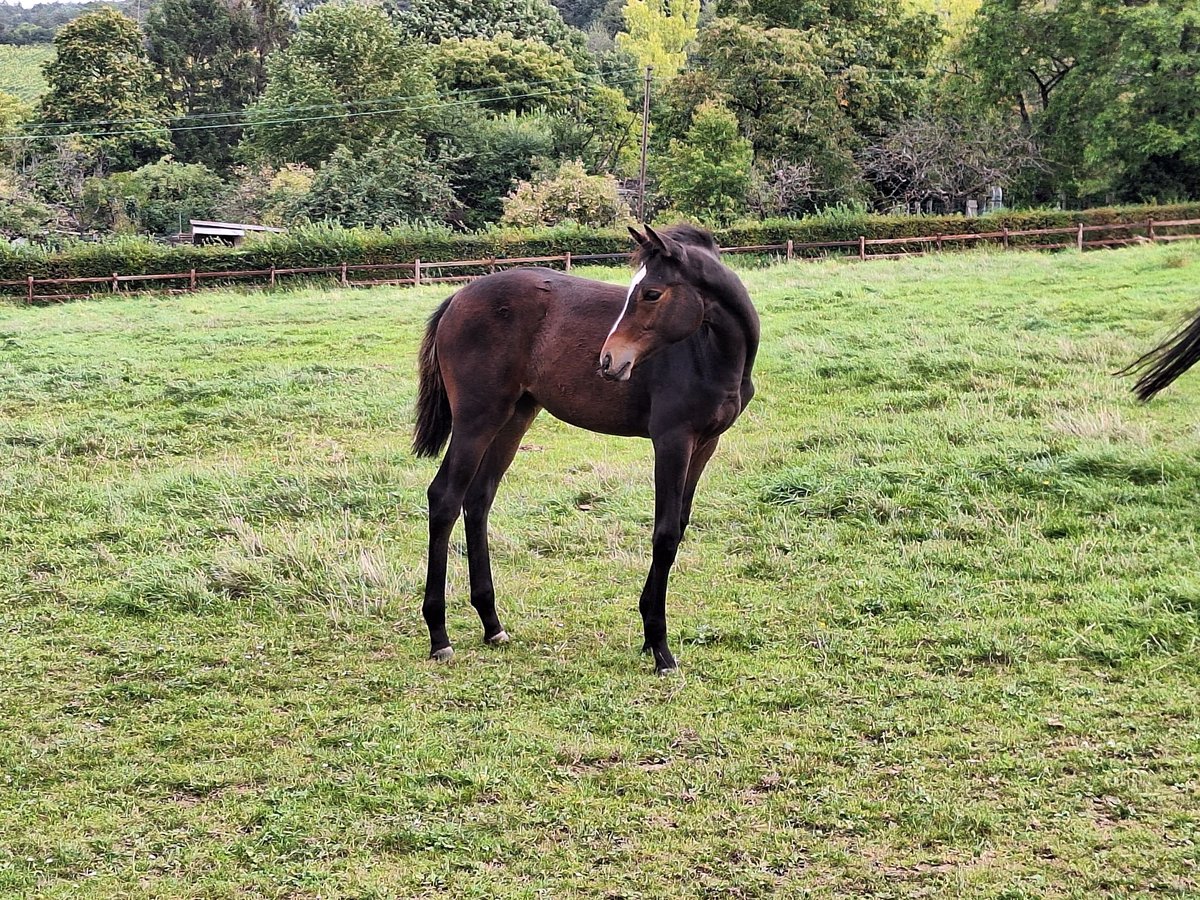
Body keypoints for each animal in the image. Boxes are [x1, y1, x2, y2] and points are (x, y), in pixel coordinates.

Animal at [408, 225, 753, 672]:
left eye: (651, 293)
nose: (608, 360)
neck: (710, 354)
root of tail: (458, 298)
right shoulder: (672, 440)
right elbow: (663, 534)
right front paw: (660, 647)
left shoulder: (706, 444)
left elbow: (678, 528)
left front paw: (648, 634)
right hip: (476, 418)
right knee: (445, 498)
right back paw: (439, 635)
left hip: (515, 415)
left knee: (479, 499)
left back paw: (492, 624)